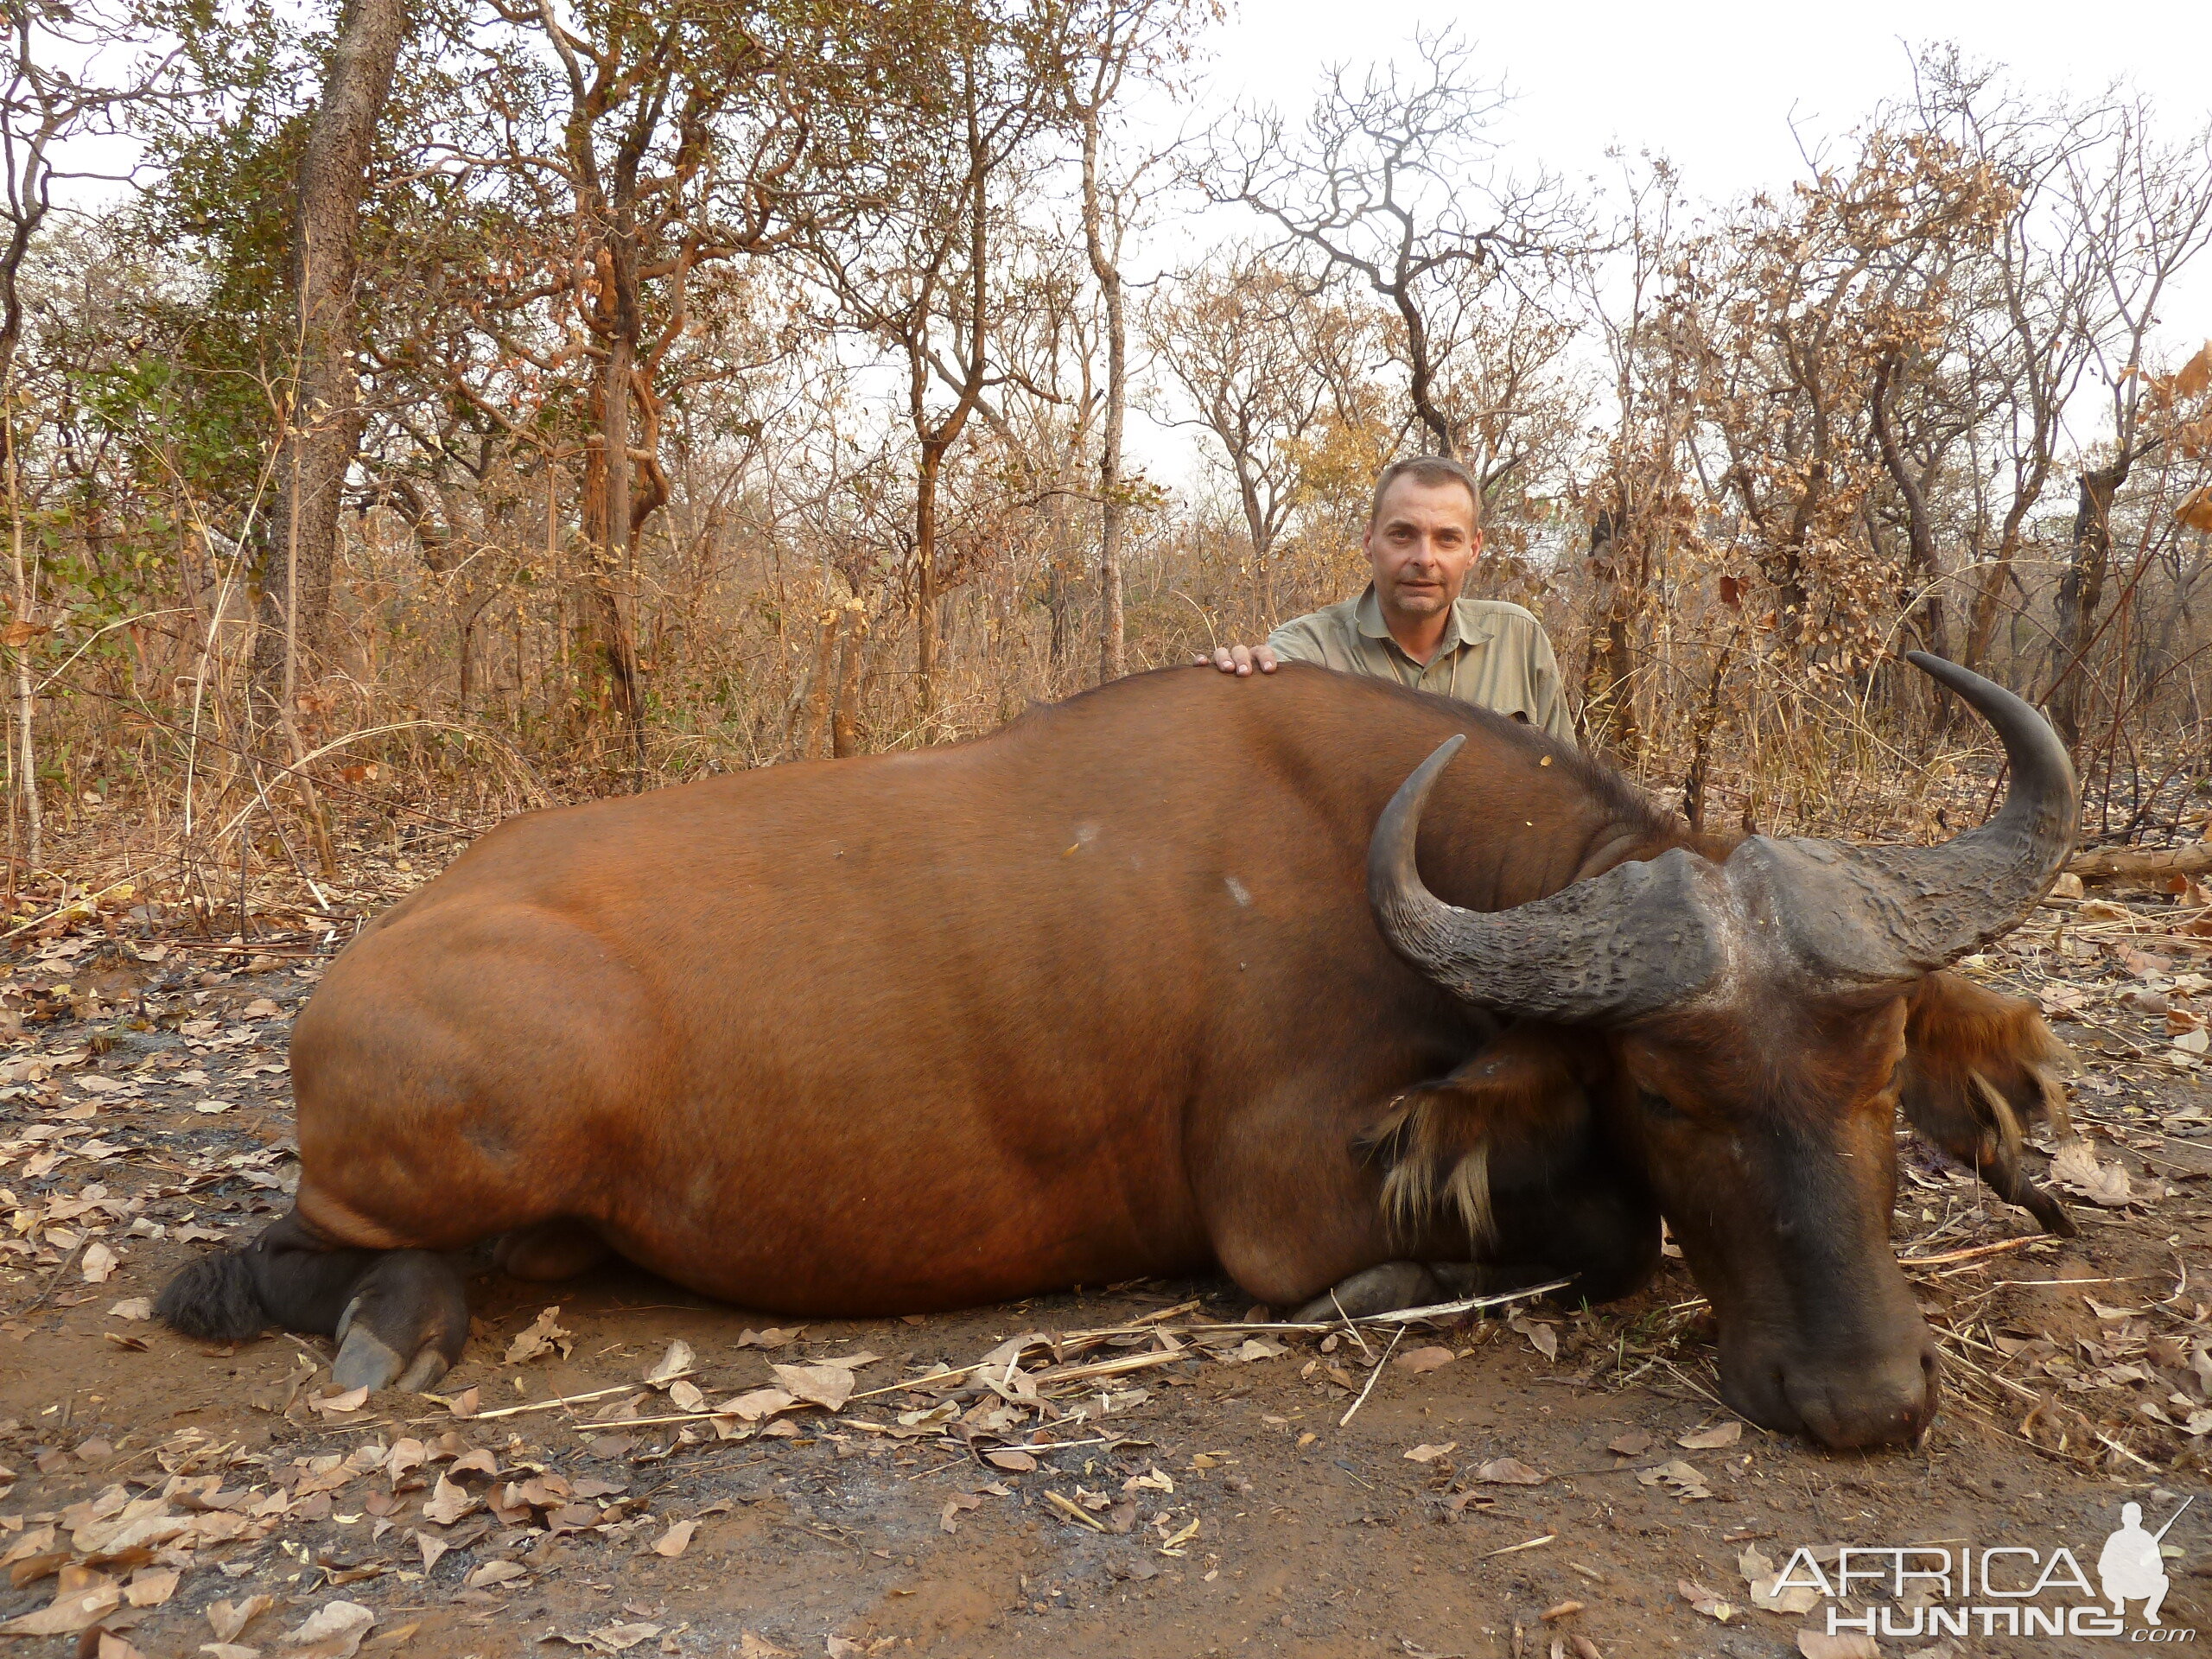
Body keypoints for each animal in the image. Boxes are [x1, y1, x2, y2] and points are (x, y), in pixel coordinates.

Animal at [160, 654, 2070, 1451]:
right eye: (1668, 1095)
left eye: (1878, 1078)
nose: (1864, 1404)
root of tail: (355, 972)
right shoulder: (1286, 1208)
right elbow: (1596, 1239)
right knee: (308, 1250)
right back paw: (379, 1322)